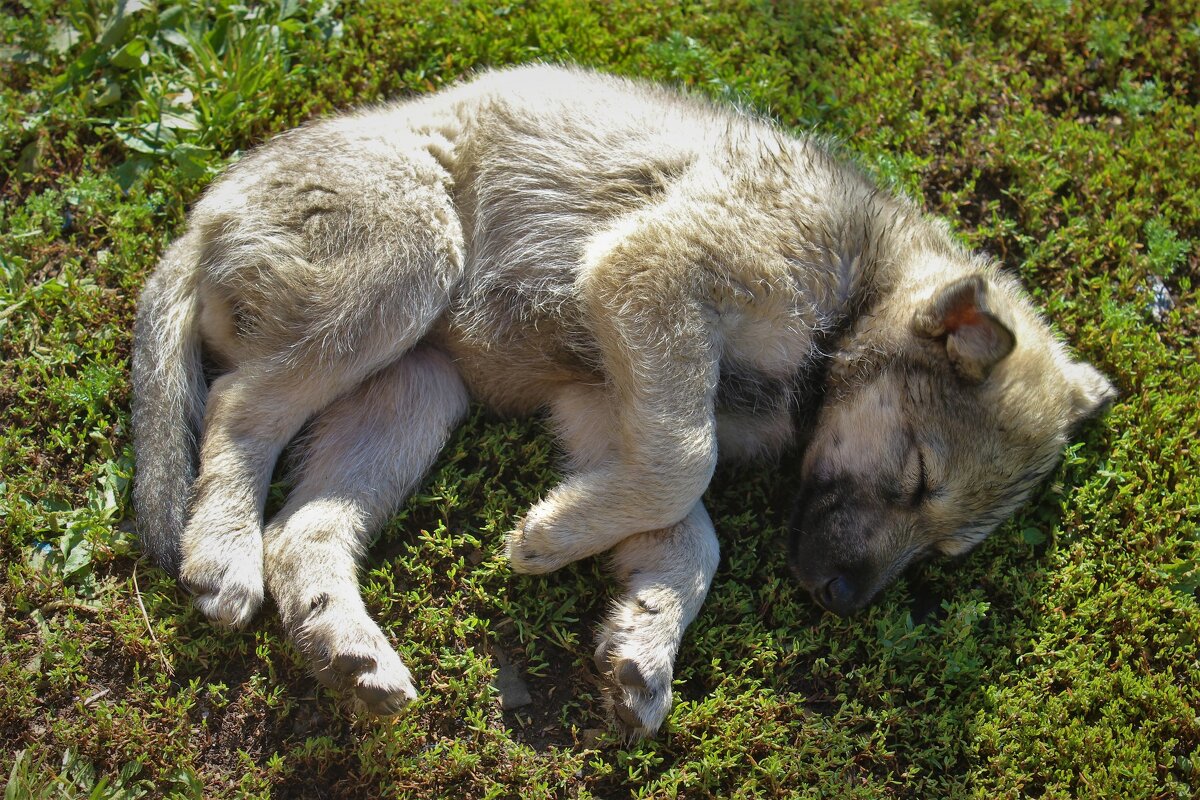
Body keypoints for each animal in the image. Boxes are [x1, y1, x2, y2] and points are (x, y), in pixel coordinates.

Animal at [131, 62, 1113, 738]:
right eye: (914, 477)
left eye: (944, 550)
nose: (839, 601)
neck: (857, 290)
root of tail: (210, 208)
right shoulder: (655, 278)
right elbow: (687, 468)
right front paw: (551, 540)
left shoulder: (606, 396)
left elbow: (690, 532)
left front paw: (643, 638)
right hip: (406, 258)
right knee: (239, 409)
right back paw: (222, 550)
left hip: (413, 392)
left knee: (305, 526)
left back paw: (345, 645)